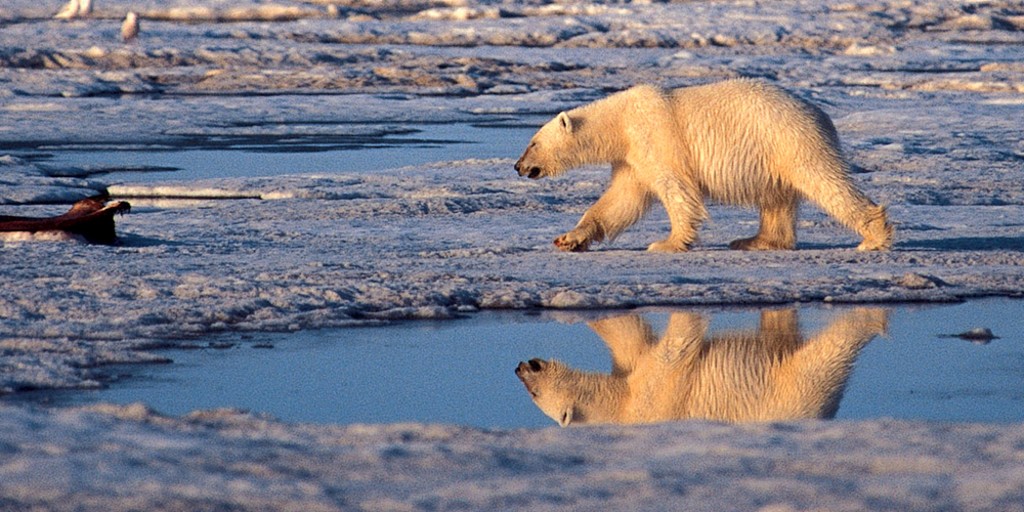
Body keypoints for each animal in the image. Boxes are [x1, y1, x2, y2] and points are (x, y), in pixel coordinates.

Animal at [516, 78, 892, 251]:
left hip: (789, 140)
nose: (518, 166)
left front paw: (666, 244)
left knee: (825, 181)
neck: (620, 122)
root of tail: (821, 114)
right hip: (775, 154)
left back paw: (873, 236)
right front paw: (568, 238)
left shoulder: (656, 138)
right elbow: (621, 200)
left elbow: (676, 189)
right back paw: (755, 240)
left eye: (533, 142)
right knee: (776, 198)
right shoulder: (631, 158)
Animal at [516, 305, 884, 425]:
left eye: (535, 395)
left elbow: (670, 353)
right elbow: (628, 341)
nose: (521, 366)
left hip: (793, 387)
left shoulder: (657, 395)